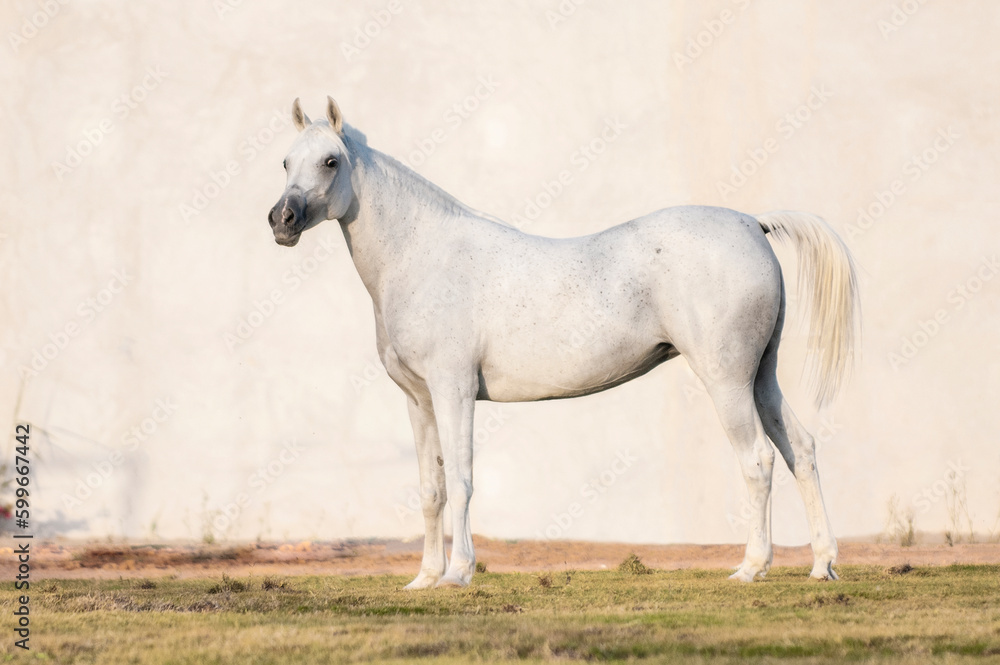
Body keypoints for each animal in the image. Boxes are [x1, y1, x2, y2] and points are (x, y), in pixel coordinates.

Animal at [267, 97, 860, 588]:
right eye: (285, 162)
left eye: (331, 161)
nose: (282, 219)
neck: (423, 255)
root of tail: (751, 223)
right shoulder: (419, 400)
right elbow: (431, 489)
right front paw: (425, 578)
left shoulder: (453, 391)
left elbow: (460, 479)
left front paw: (458, 573)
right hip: (762, 376)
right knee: (800, 450)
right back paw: (821, 564)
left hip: (727, 380)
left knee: (757, 459)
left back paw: (751, 568)